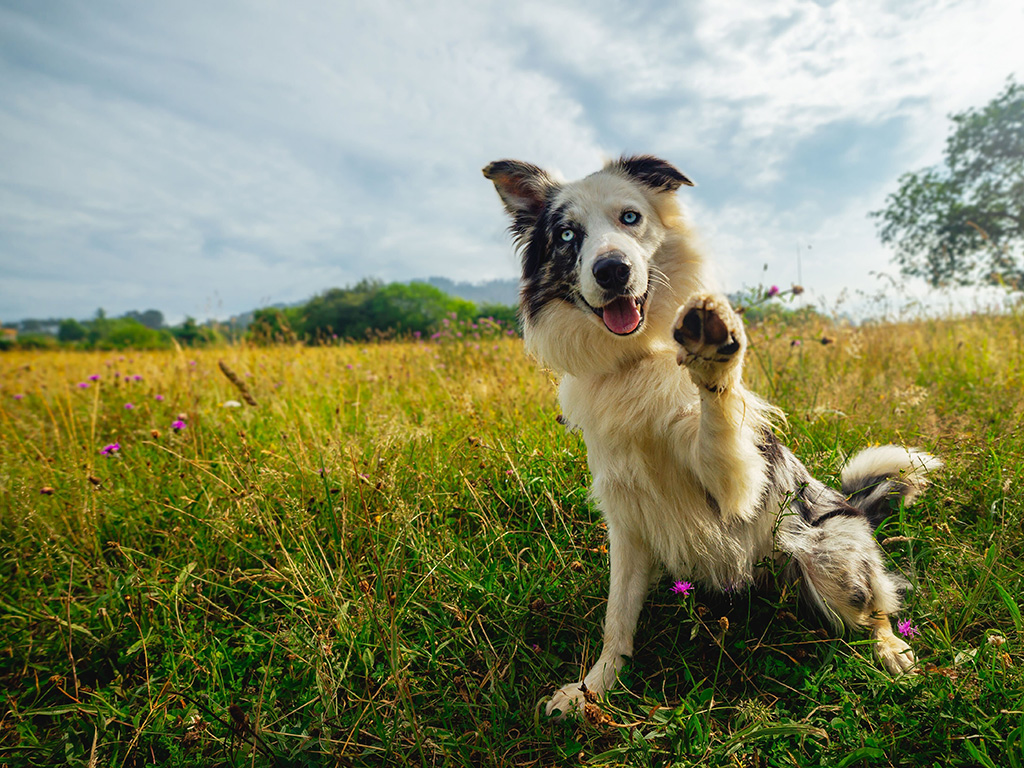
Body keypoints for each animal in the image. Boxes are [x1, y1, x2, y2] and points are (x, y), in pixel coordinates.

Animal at [483, 156, 937, 720]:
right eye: (568, 235)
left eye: (630, 217)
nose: (612, 270)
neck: (635, 360)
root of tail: (853, 508)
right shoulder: (626, 519)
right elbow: (617, 618)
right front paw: (594, 689)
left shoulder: (734, 484)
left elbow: (717, 418)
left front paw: (714, 354)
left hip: (826, 557)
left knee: (875, 607)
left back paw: (891, 648)